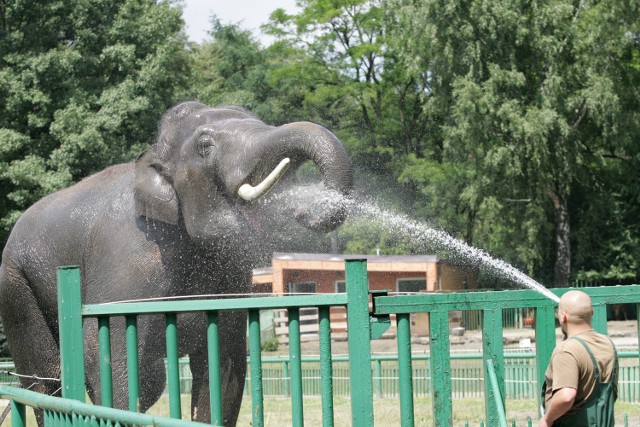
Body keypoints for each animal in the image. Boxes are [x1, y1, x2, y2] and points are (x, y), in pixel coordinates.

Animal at [0, 102, 352, 426]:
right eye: (205, 146)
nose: (303, 208)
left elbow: (223, 360)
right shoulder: (129, 259)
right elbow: (103, 347)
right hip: (15, 286)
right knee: (47, 378)